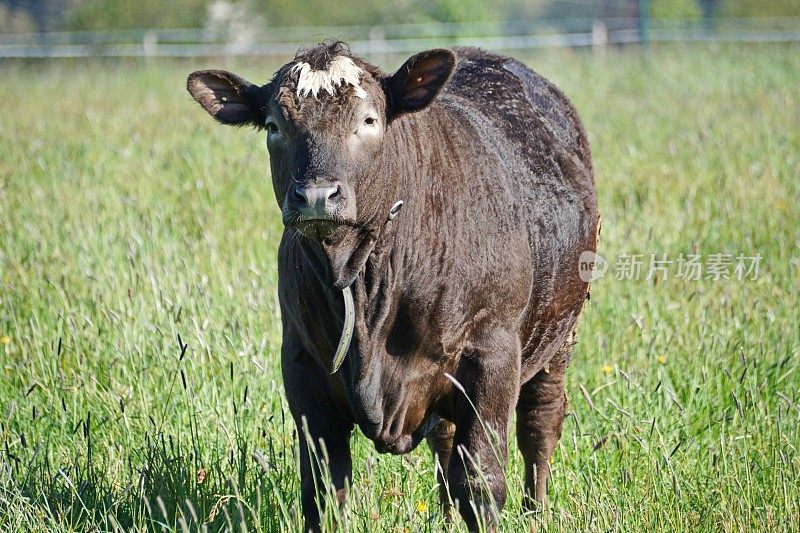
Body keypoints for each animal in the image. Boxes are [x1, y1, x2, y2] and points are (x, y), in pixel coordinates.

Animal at [188, 40, 596, 528]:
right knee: (445, 444)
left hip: (560, 338)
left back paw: (536, 512)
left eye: (369, 120)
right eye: (273, 126)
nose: (317, 196)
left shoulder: (492, 355)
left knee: (540, 426)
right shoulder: (301, 364)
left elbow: (482, 481)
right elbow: (324, 489)